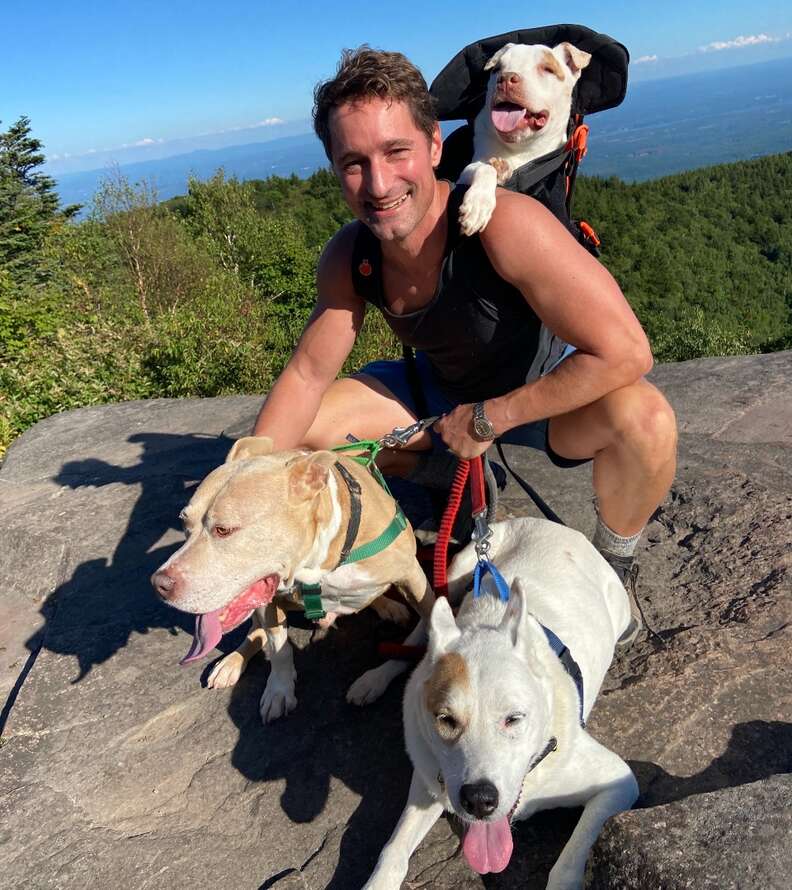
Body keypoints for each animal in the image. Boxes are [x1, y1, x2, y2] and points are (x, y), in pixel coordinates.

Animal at [148, 436, 434, 720]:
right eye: (184, 524)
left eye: (223, 530)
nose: (158, 585)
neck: (318, 561)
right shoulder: (269, 600)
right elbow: (279, 648)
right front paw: (279, 690)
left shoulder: (413, 576)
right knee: (255, 633)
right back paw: (232, 662)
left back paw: (389, 606)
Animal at [366, 512, 636, 888]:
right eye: (446, 720)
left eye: (514, 719)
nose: (479, 801)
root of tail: (557, 527)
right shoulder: (430, 779)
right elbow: (393, 850)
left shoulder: (618, 783)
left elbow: (569, 859)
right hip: (456, 570)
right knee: (423, 626)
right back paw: (374, 677)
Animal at [454, 40, 592, 236]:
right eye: (496, 69)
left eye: (548, 69)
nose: (505, 78)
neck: (522, 148)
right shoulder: (467, 171)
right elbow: (485, 168)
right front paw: (479, 203)